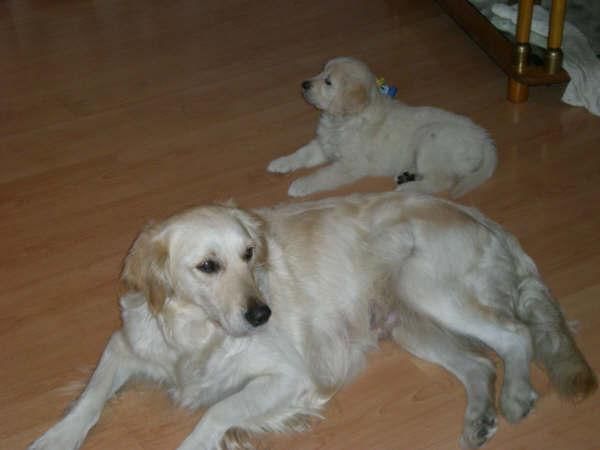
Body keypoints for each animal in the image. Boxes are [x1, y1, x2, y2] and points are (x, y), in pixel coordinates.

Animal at [28, 192, 596, 448]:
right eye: (208, 266)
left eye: (249, 254)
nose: (262, 313)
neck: (198, 333)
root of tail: (484, 218)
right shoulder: (125, 344)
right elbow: (90, 397)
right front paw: (57, 437)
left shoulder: (289, 375)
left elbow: (217, 411)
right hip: (408, 322)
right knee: (479, 364)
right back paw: (479, 418)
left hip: (430, 291)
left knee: (515, 335)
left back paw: (517, 395)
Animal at [268, 56, 496, 197]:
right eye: (321, 71)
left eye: (328, 82)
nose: (304, 84)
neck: (342, 121)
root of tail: (483, 137)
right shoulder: (324, 145)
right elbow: (301, 154)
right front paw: (280, 163)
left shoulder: (350, 165)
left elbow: (323, 175)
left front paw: (301, 184)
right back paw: (406, 176)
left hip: (432, 138)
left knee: (442, 181)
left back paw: (408, 189)